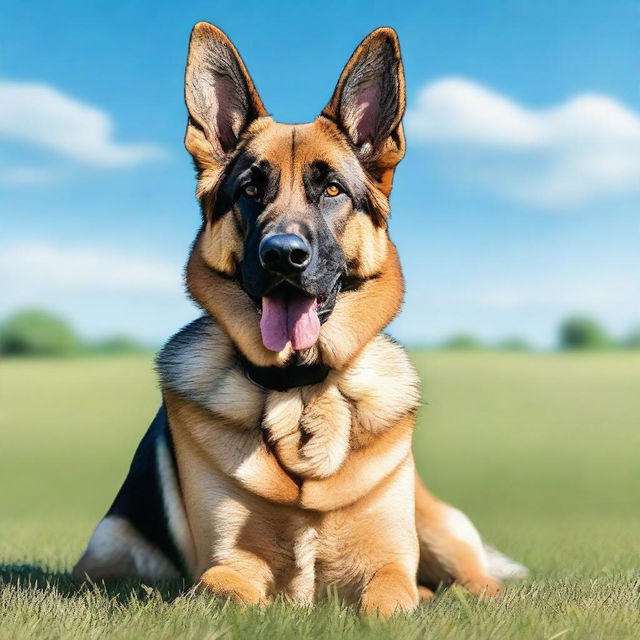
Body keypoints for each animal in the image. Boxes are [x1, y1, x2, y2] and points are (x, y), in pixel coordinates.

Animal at [75, 23, 524, 616]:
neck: (302, 389)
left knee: (477, 582)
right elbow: (235, 593)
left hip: (436, 527)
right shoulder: (228, 566)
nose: (283, 256)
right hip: (111, 544)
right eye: (249, 189)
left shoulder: (387, 567)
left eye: (331, 189)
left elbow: (392, 599)